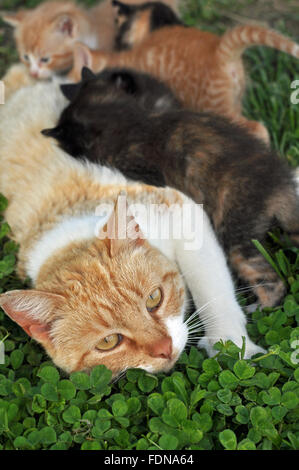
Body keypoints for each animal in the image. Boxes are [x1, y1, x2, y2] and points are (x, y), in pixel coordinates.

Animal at [0, 67, 264, 374]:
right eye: (108, 342)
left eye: (154, 299)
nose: (163, 349)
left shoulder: (181, 209)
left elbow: (212, 286)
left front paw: (230, 342)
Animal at [68, 2, 299, 143]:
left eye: (74, 80)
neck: (116, 58)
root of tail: (220, 49)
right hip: (236, 100)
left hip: (216, 107)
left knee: (257, 128)